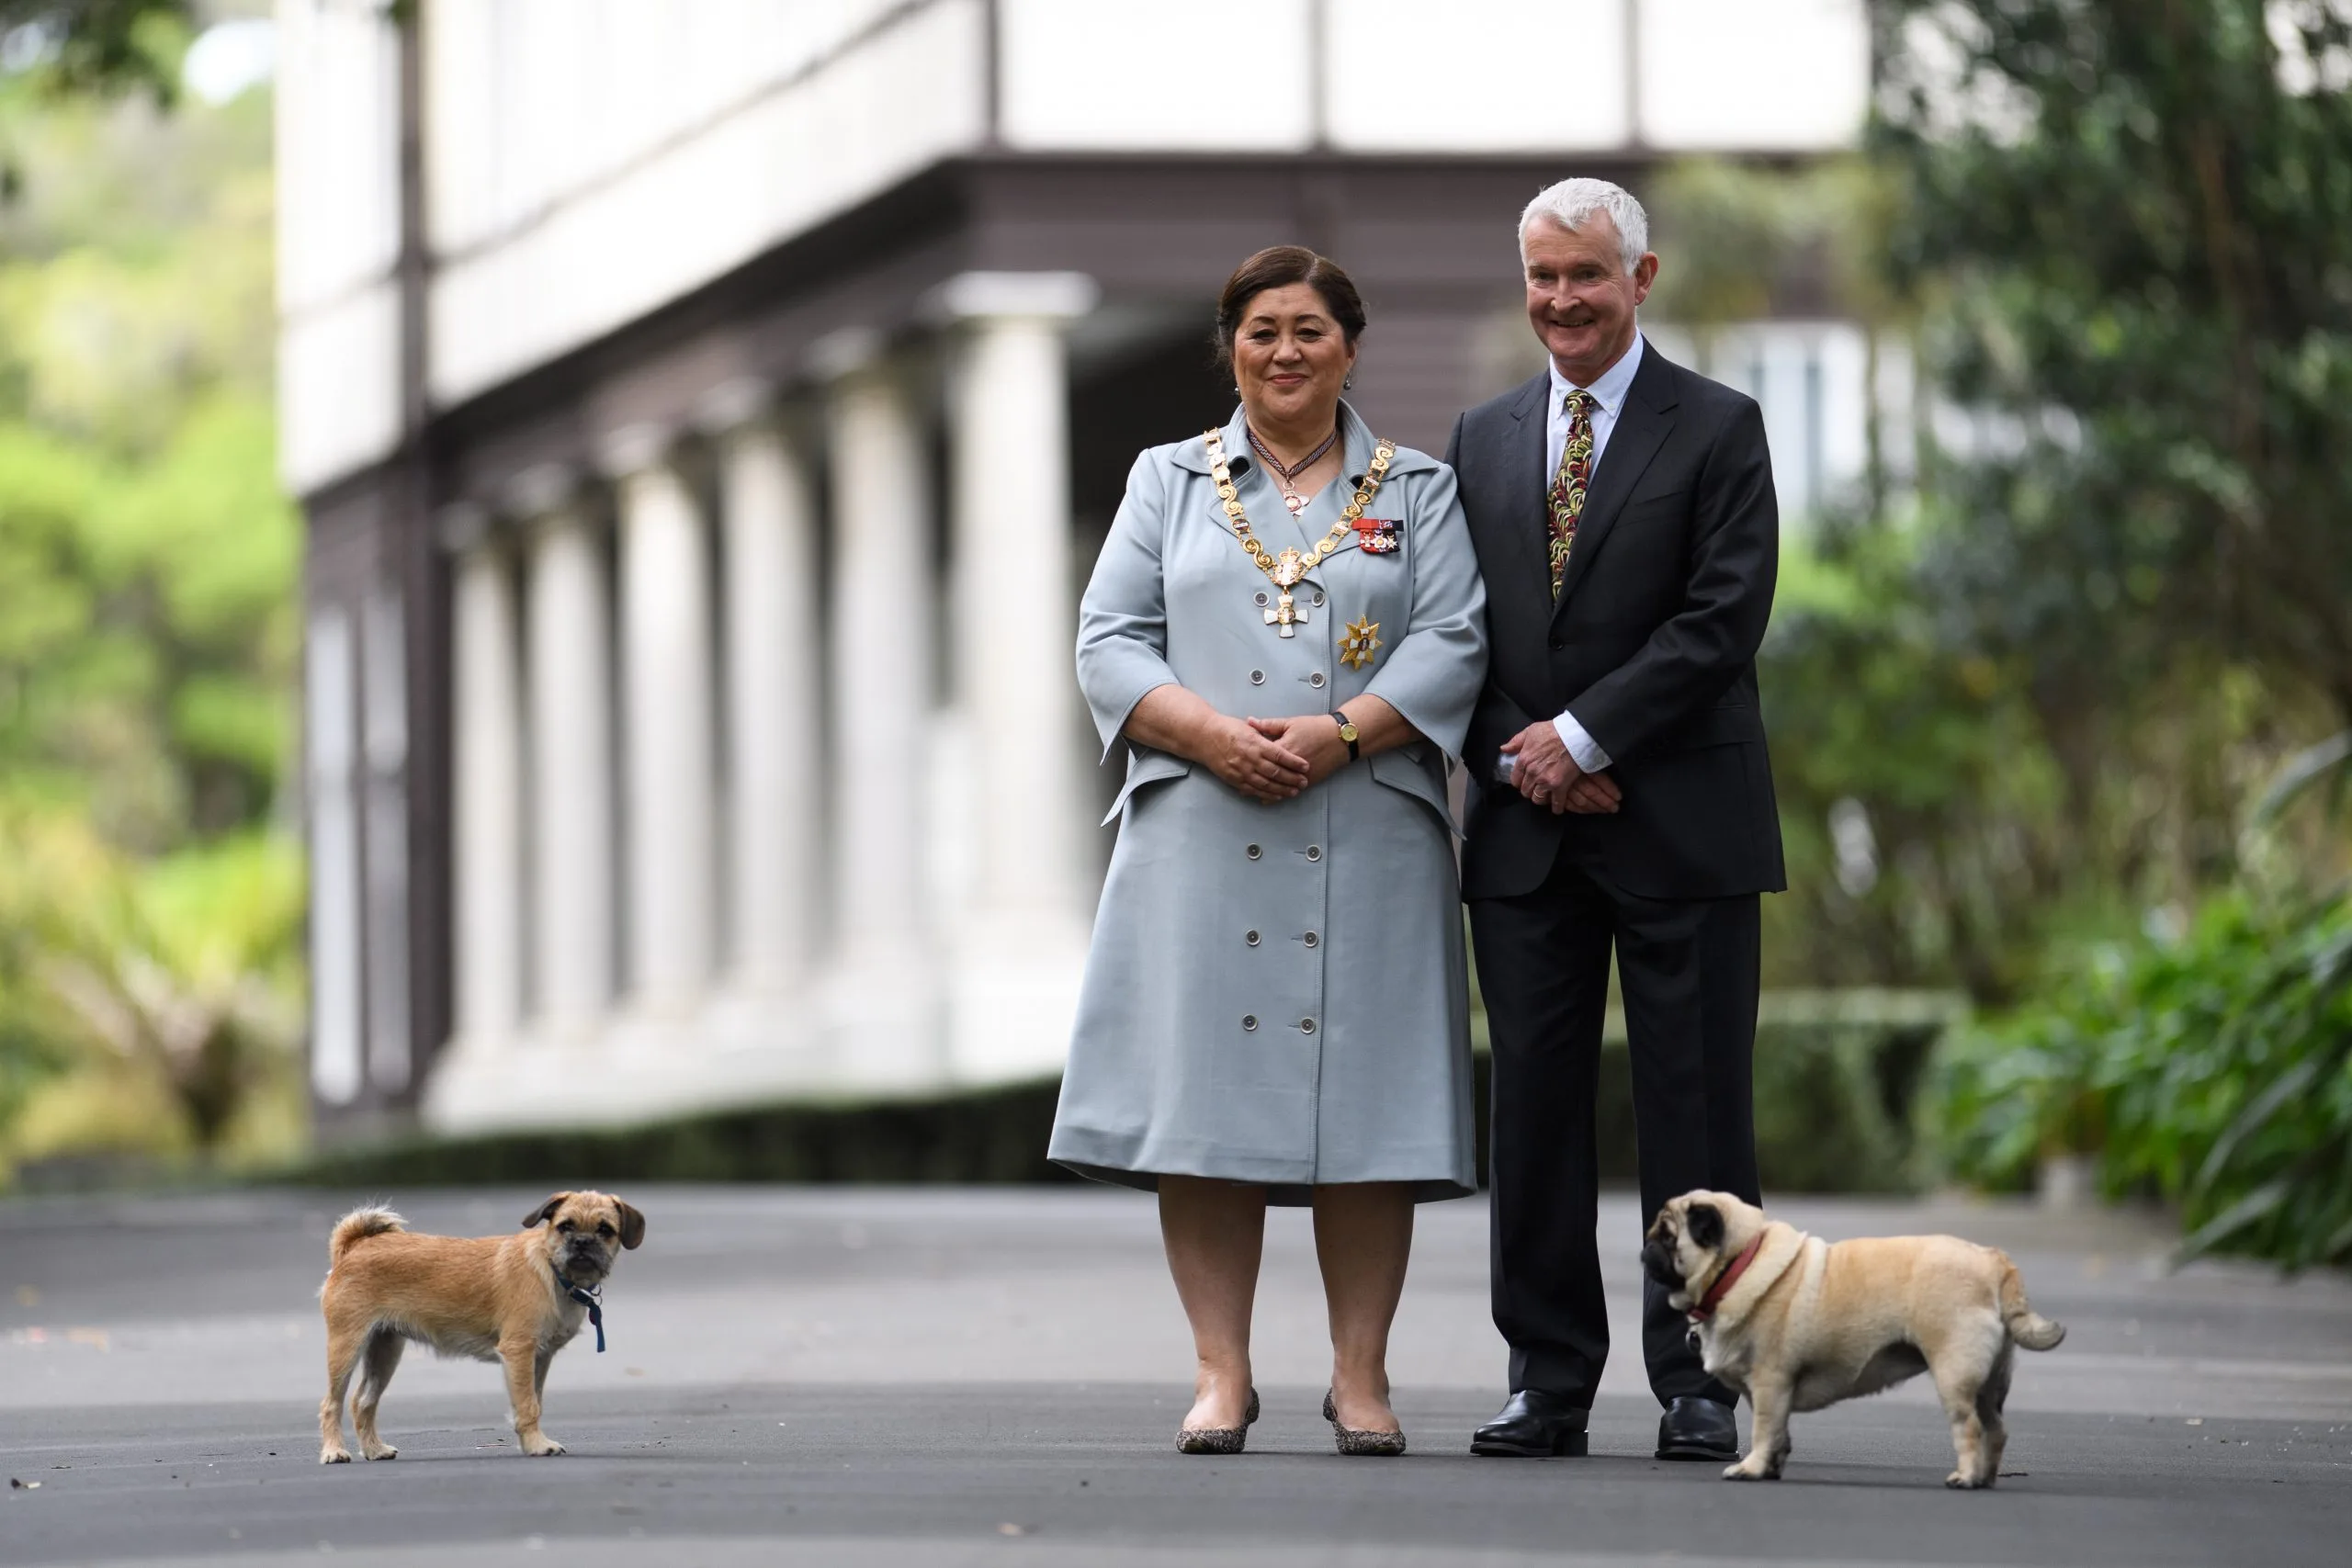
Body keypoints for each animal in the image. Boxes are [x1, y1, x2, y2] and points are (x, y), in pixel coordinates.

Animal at [312, 1194, 649, 1466]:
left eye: (605, 1230)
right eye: (565, 1226)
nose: (582, 1242)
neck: (553, 1271)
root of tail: (354, 1246)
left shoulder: (537, 1360)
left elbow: (532, 1402)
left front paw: (530, 1443)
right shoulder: (519, 1352)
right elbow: (528, 1405)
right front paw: (537, 1445)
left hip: (385, 1351)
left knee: (363, 1402)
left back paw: (374, 1450)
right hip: (346, 1348)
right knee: (332, 1404)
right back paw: (334, 1452)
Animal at [1646, 1194, 2069, 1495]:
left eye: (1668, 1237)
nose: (1646, 1247)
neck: (1741, 1263)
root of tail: (1994, 1262)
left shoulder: (1770, 1383)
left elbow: (1764, 1430)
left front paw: (1751, 1468)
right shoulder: (1776, 1392)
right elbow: (1780, 1434)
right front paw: (1770, 1468)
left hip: (1955, 1373)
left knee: (1969, 1428)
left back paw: (1965, 1478)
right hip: (1990, 1383)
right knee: (1996, 1429)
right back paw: (1985, 1478)